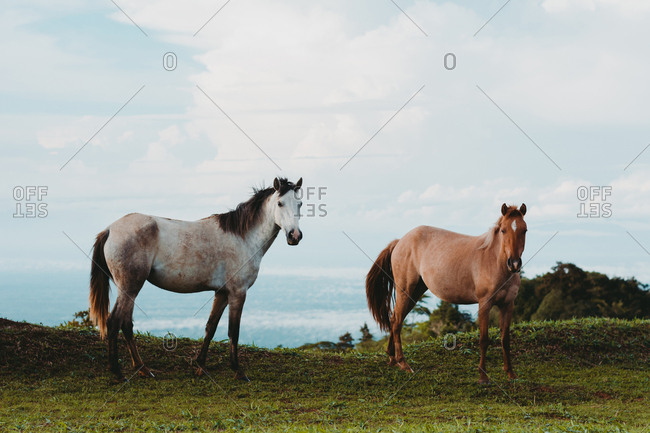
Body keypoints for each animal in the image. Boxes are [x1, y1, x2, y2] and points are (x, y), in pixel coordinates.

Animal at [89, 177, 303, 382]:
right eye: (280, 203)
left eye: (300, 203)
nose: (295, 236)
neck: (243, 238)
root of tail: (110, 230)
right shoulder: (238, 292)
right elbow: (233, 331)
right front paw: (238, 371)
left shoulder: (222, 292)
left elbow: (211, 327)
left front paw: (200, 366)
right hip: (130, 286)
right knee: (114, 321)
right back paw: (117, 372)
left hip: (130, 290)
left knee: (126, 324)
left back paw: (143, 369)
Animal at [366, 203, 527, 384]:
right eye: (503, 230)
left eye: (524, 230)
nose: (514, 263)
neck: (493, 262)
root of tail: (400, 241)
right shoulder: (484, 304)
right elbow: (484, 340)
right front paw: (483, 376)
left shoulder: (508, 305)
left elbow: (505, 339)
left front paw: (511, 373)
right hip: (405, 289)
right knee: (397, 321)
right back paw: (403, 363)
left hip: (414, 293)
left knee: (395, 319)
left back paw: (392, 358)